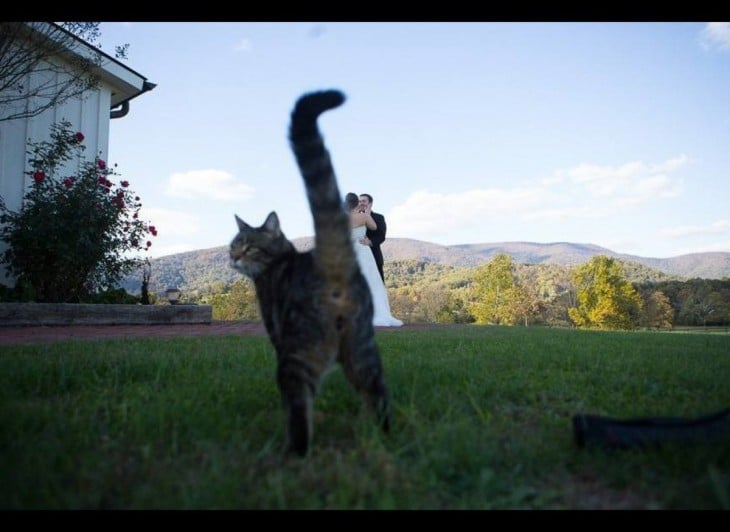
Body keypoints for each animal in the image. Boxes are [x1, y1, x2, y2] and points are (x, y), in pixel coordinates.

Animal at [230, 89, 390, 456]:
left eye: (247, 246)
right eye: (233, 245)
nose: (233, 258)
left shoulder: (278, 333)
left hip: (298, 352)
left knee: (299, 406)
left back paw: (294, 452)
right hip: (361, 349)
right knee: (379, 394)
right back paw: (383, 438)